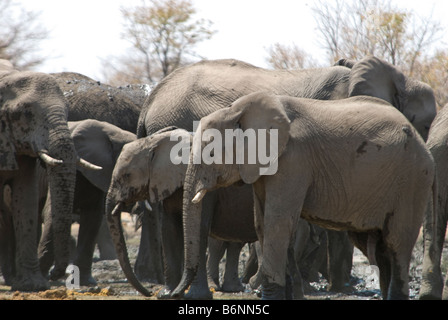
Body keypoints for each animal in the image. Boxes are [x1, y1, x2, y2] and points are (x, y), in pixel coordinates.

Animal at [105, 129, 258, 298]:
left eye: (127, 175)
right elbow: (169, 229)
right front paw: (166, 294)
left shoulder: (207, 185)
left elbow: (198, 229)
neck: (157, 141)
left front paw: (194, 296)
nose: (149, 292)